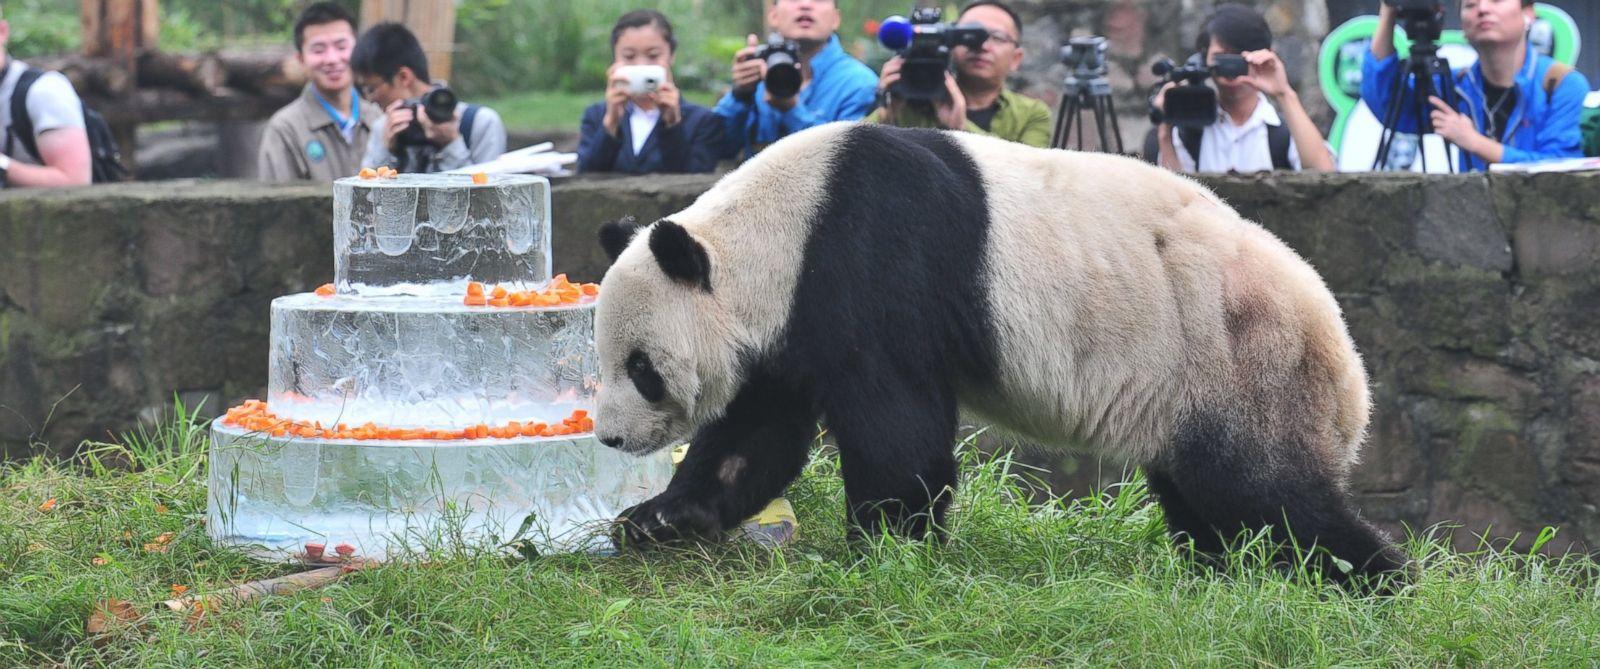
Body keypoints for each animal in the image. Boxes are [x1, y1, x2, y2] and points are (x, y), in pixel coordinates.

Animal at [592, 121, 1410, 586]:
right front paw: (656, 520)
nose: (610, 438)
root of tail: (1348, 363)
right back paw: (1228, 572)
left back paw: (1373, 579)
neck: (777, 229)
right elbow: (756, 435)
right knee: (1209, 497)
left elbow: (898, 429)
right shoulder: (790, 325)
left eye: (641, 368)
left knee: (1265, 491)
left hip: (1239, 357)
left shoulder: (871, 263)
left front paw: (887, 547)